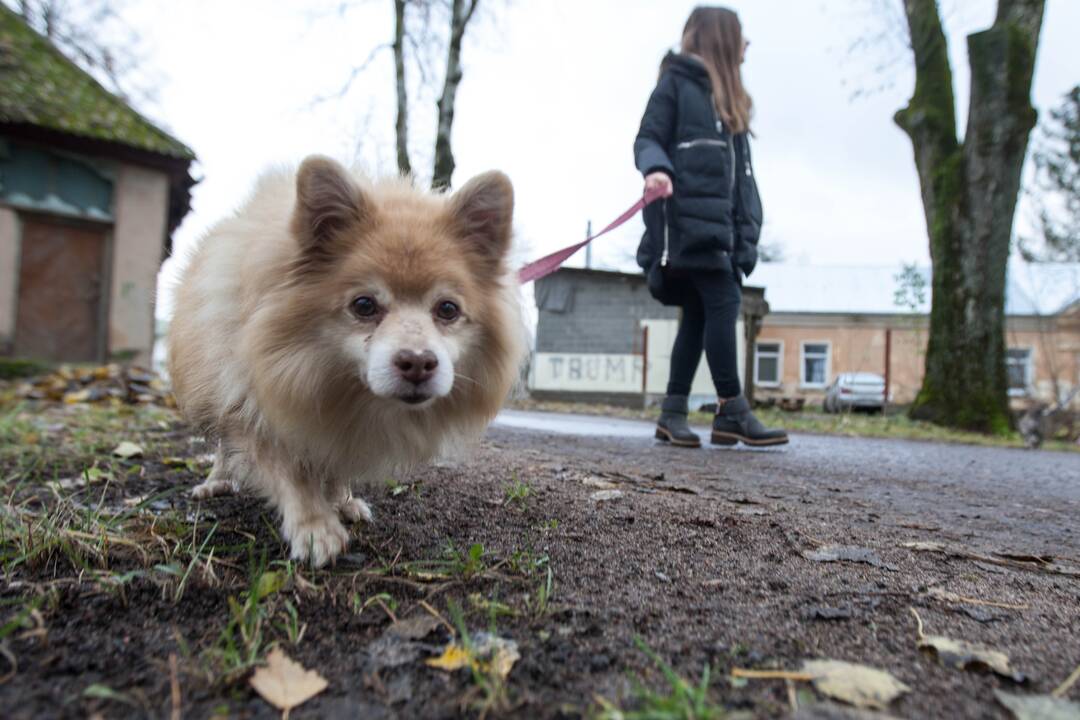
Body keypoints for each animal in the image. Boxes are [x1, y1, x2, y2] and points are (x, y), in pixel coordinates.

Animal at [165, 157, 527, 569]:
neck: (337, 383)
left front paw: (341, 500)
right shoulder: (255, 404)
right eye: (364, 305)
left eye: (447, 309)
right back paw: (216, 482)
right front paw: (314, 527)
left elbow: (334, 462)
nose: (418, 362)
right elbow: (289, 470)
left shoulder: (337, 425)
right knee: (225, 446)